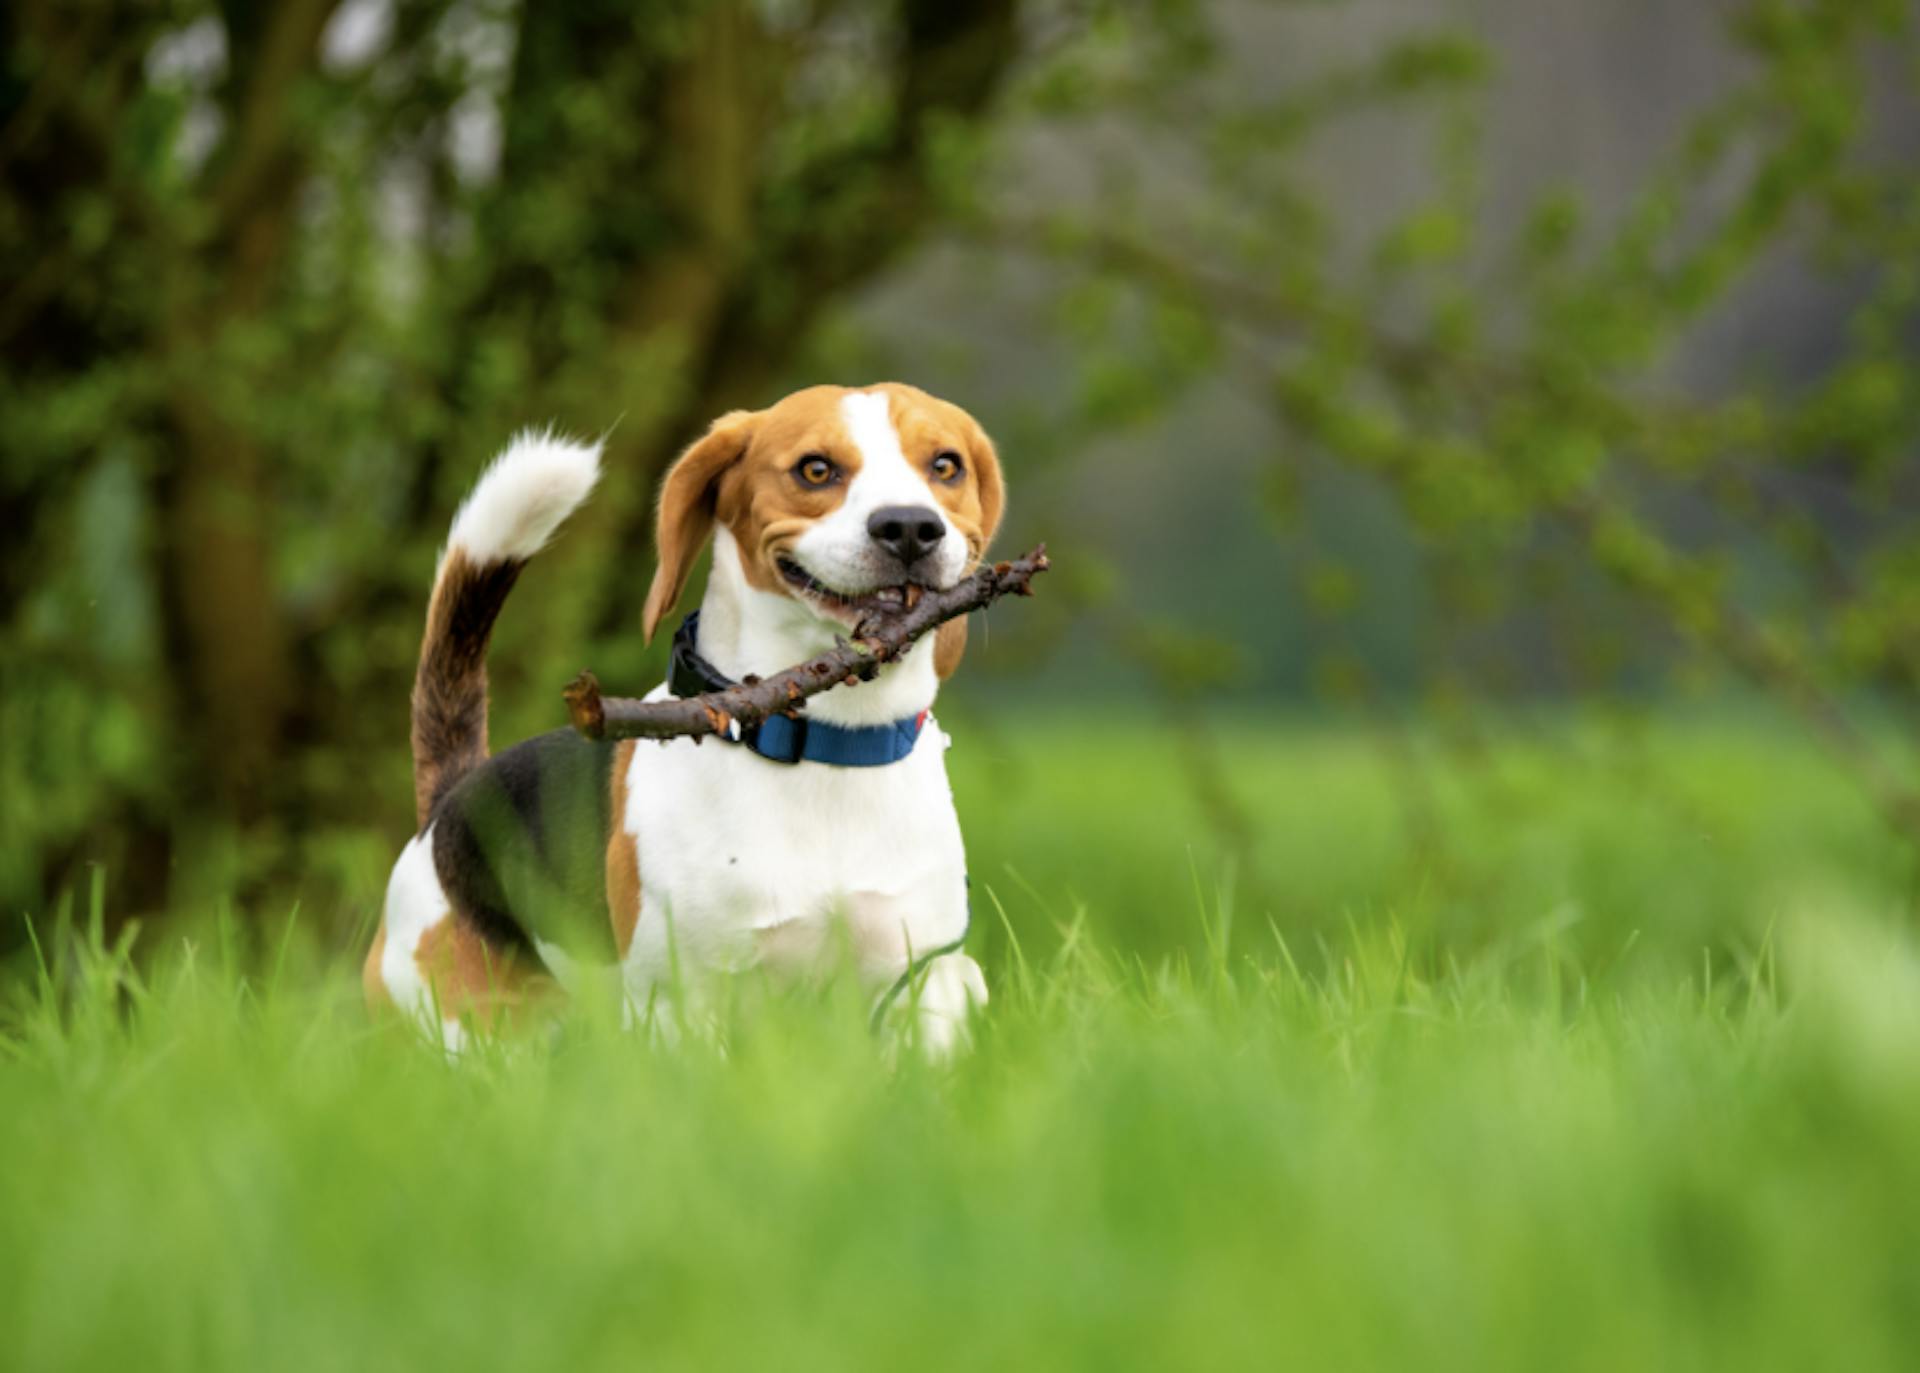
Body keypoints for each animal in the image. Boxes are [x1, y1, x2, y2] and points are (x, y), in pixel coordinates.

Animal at [364, 384, 1013, 1052]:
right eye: (815, 469)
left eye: (946, 466)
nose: (910, 527)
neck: (826, 743)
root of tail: (447, 801)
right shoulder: (682, 1002)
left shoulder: (922, 981)